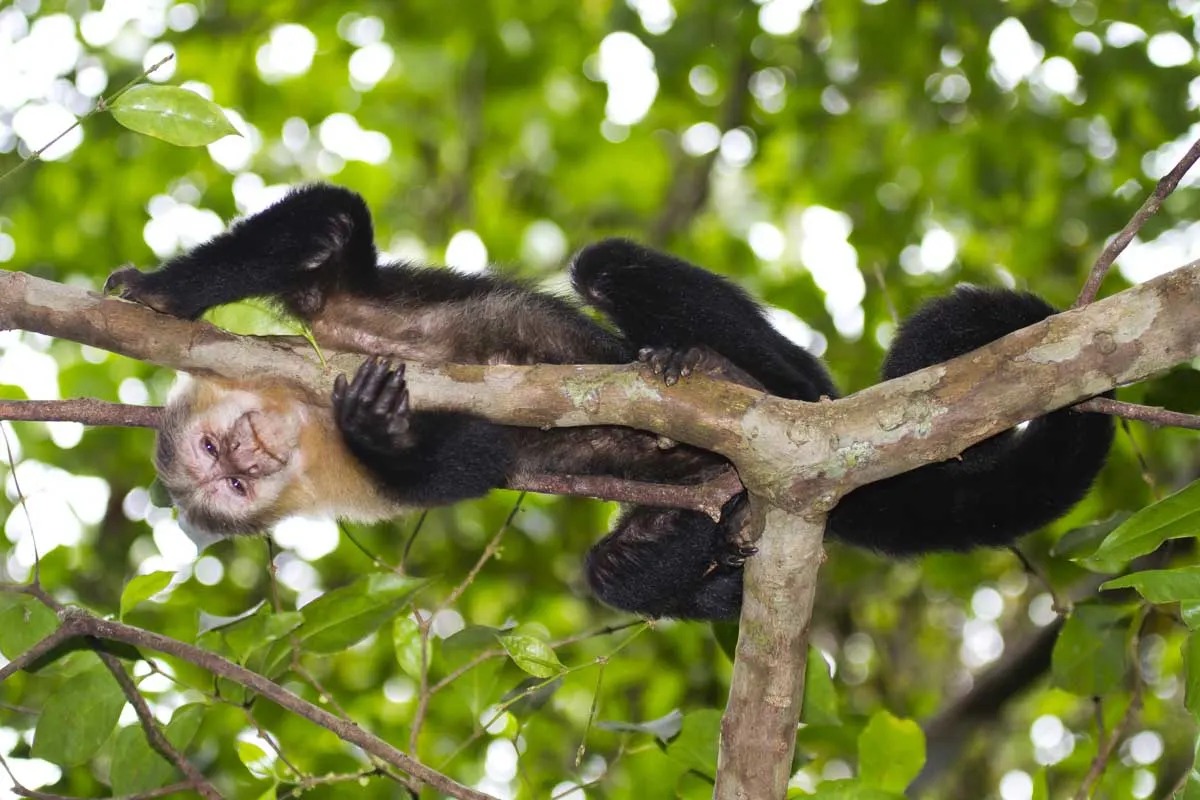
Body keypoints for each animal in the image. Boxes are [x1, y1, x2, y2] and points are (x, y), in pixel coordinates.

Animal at [105, 184, 1113, 623]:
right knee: (616, 571)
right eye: (224, 488)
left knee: (612, 271)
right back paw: (723, 553)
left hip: (786, 386)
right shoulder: (361, 488)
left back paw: (737, 375)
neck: (306, 426)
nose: (240, 461)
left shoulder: (323, 329)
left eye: (215, 456)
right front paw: (379, 423)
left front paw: (159, 292)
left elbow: (326, 232)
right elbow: (476, 459)